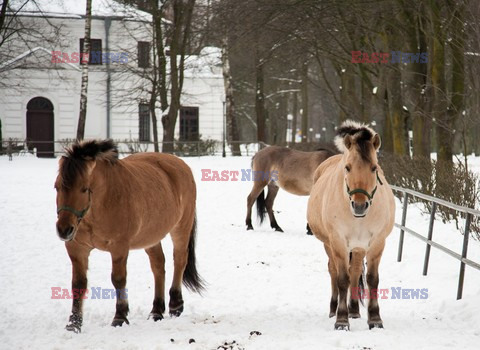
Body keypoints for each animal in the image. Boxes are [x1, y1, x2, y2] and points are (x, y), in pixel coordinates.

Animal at [54, 139, 204, 334]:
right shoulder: (76, 249)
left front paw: (120, 317)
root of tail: (180, 164)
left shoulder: (119, 247)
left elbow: (118, 280)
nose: (64, 229)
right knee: (158, 265)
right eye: (57, 187)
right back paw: (156, 311)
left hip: (181, 227)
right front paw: (74, 323)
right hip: (151, 237)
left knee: (179, 260)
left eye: (84, 189)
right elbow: (78, 284)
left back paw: (175, 305)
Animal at [308, 121, 394, 330]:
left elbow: (372, 279)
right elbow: (342, 279)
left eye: (374, 168)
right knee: (333, 271)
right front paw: (341, 320)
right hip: (328, 244)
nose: (360, 205)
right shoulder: (337, 242)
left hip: (358, 247)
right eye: (347, 168)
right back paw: (334, 309)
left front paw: (375, 319)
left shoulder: (377, 243)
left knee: (355, 271)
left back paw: (354, 310)